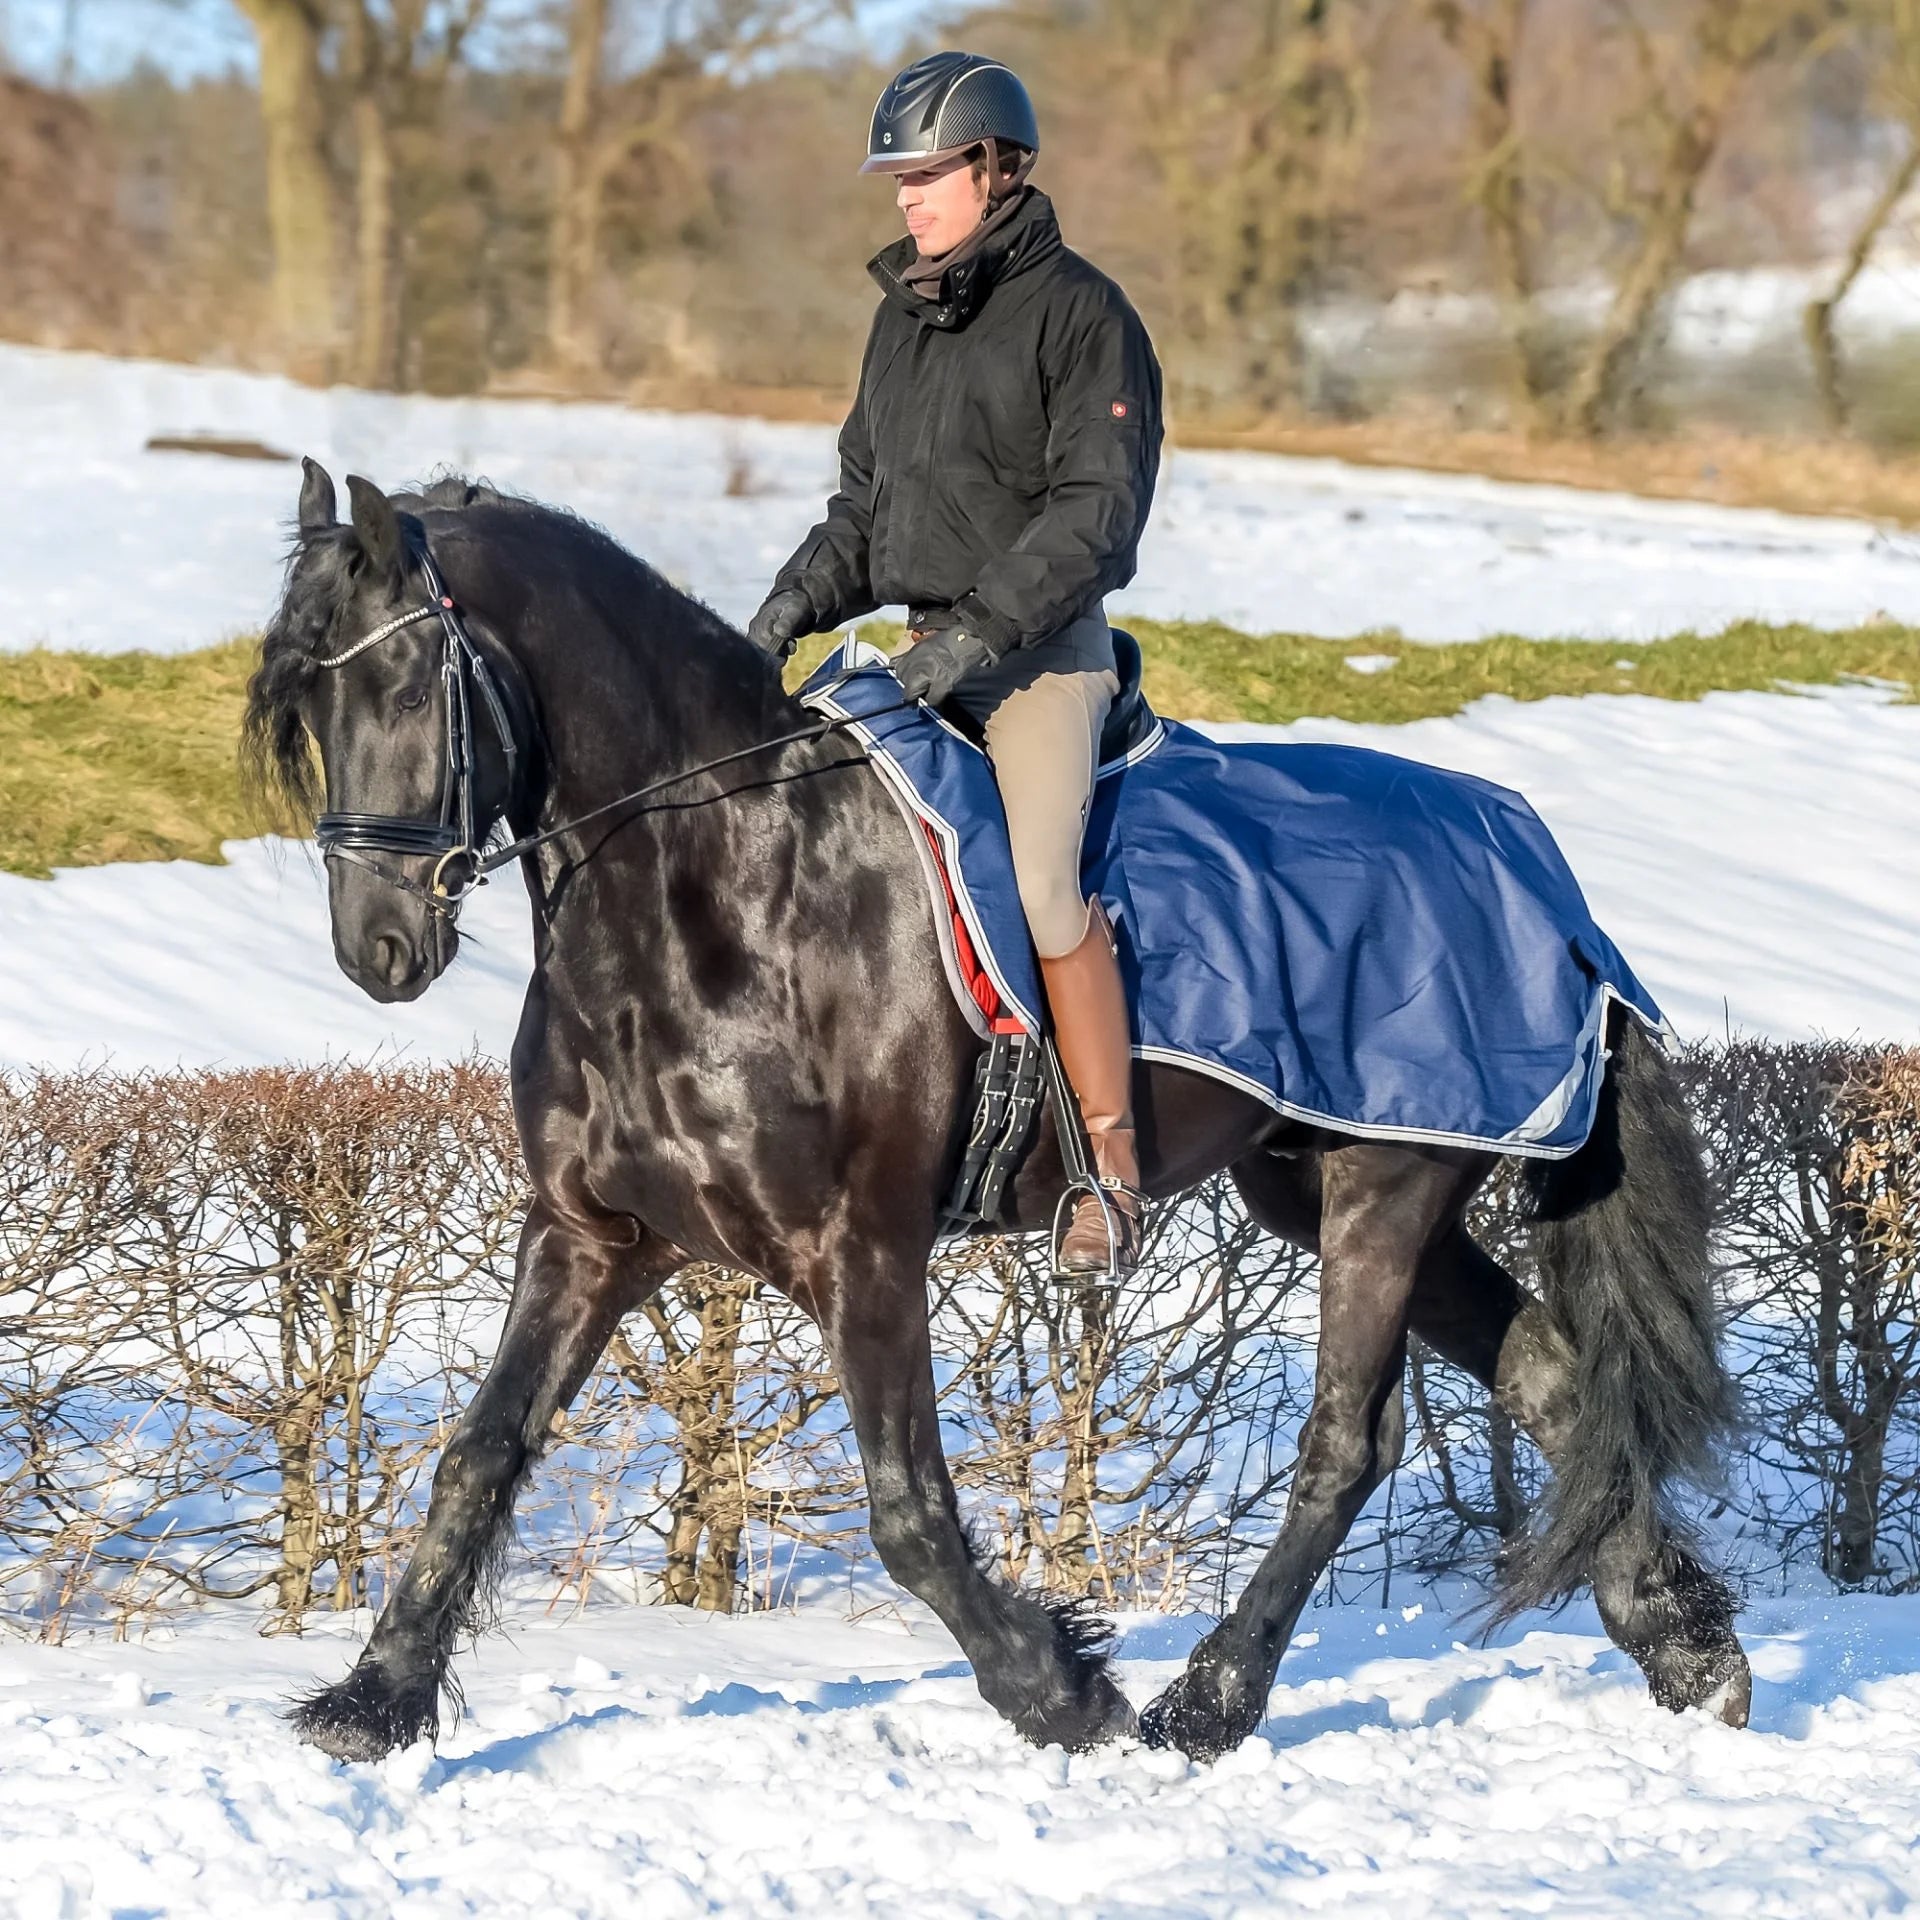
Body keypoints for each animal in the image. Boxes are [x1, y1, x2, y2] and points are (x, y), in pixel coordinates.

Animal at [246, 461, 1751, 1765]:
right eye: (307, 710)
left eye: (402, 679)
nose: (377, 949)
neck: (715, 884)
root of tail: (1542, 876)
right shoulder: (589, 1237)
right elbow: (479, 1456)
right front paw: (371, 1705)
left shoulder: (862, 1251)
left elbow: (911, 1516)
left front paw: (1060, 1690)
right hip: (1328, 1186)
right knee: (1552, 1375)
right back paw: (1690, 1651)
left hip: (1387, 1185)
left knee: (1349, 1443)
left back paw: (1208, 1704)